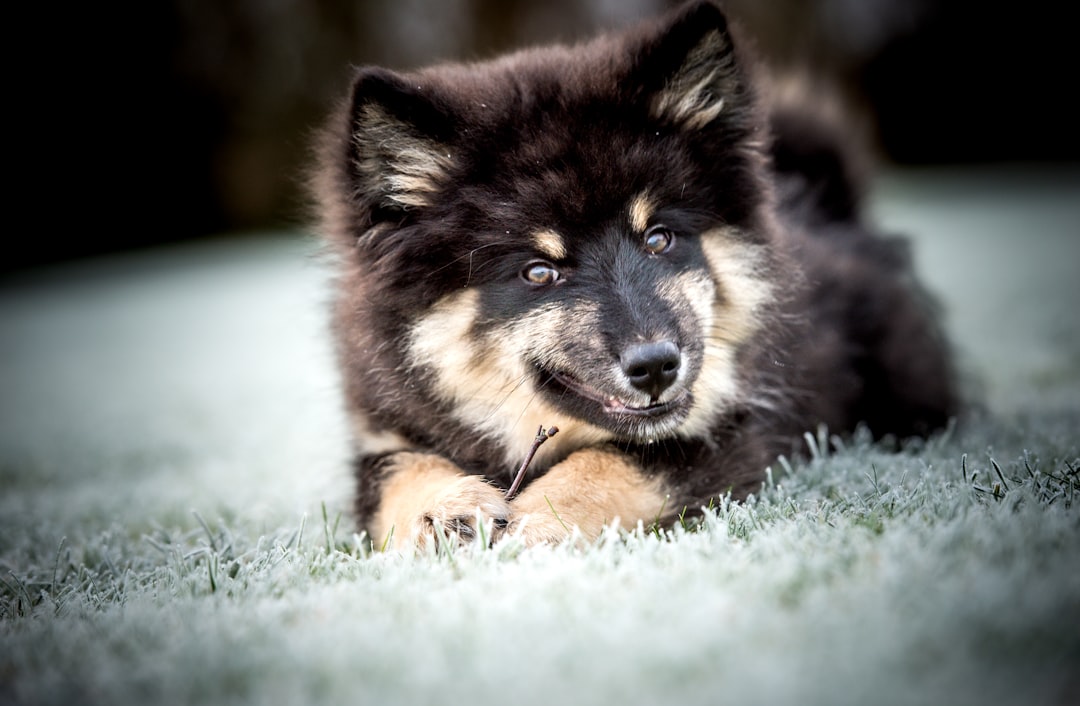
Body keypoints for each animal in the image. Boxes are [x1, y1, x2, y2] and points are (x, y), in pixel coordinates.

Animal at [311, 0, 954, 550]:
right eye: (538, 271)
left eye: (658, 238)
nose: (655, 366)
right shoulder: (385, 438)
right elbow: (399, 475)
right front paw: (444, 509)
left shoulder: (731, 432)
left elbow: (613, 462)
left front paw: (535, 520)